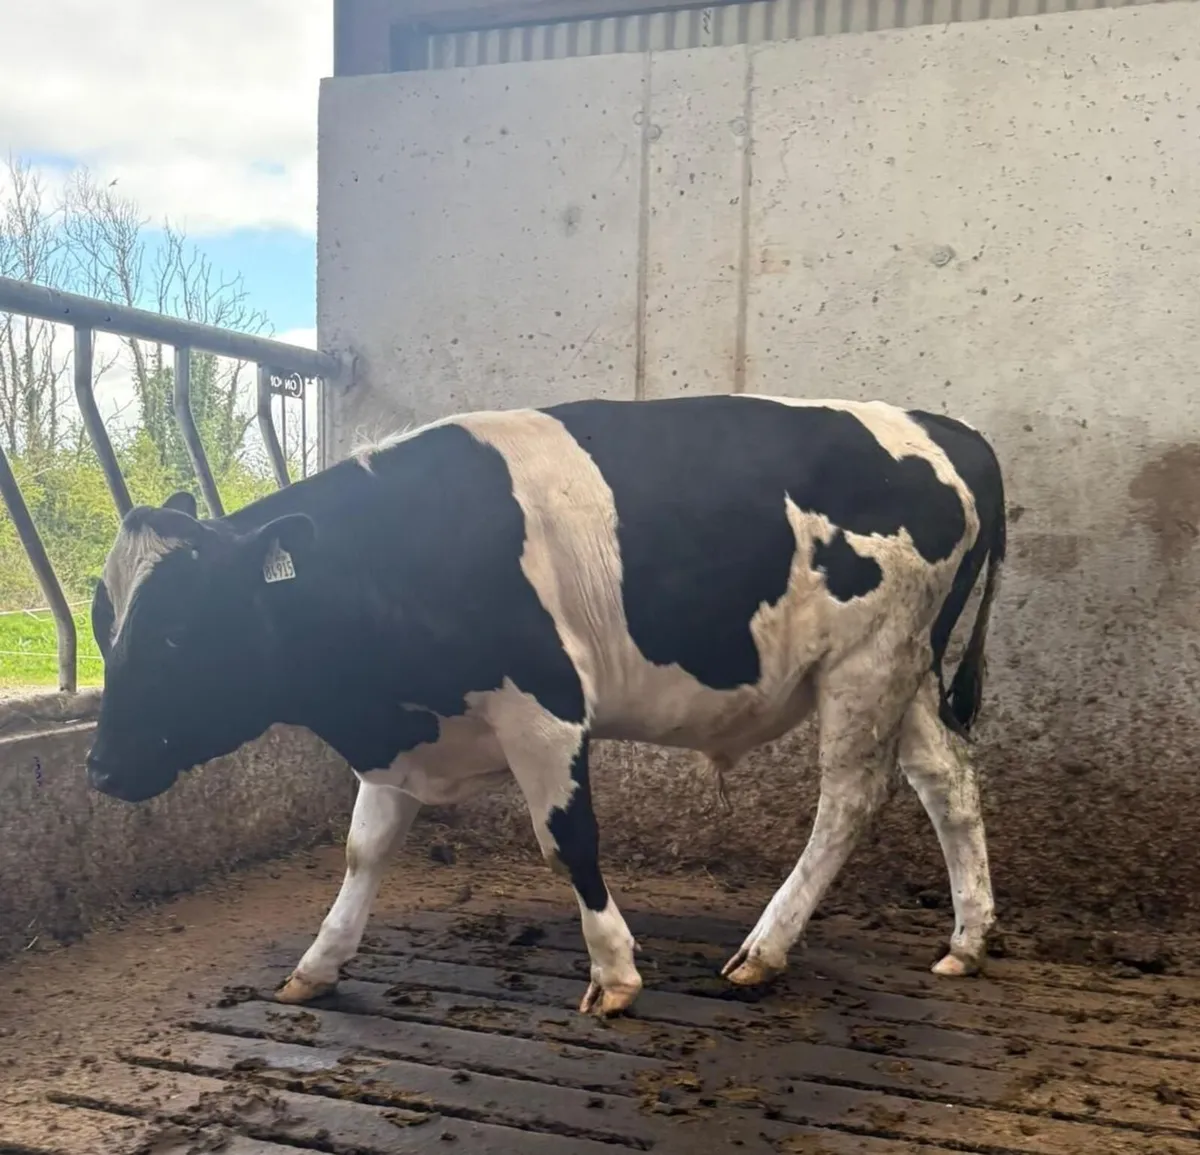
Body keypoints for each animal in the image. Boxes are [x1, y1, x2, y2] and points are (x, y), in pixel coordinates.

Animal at [86, 393, 1006, 1017]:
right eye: (104, 621)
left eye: (181, 632)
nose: (99, 767)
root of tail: (941, 426)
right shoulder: (401, 731)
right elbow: (362, 850)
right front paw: (318, 961)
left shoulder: (544, 707)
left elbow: (567, 840)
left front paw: (614, 972)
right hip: (906, 669)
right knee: (947, 780)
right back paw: (966, 939)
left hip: (867, 659)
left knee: (849, 796)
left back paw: (765, 947)